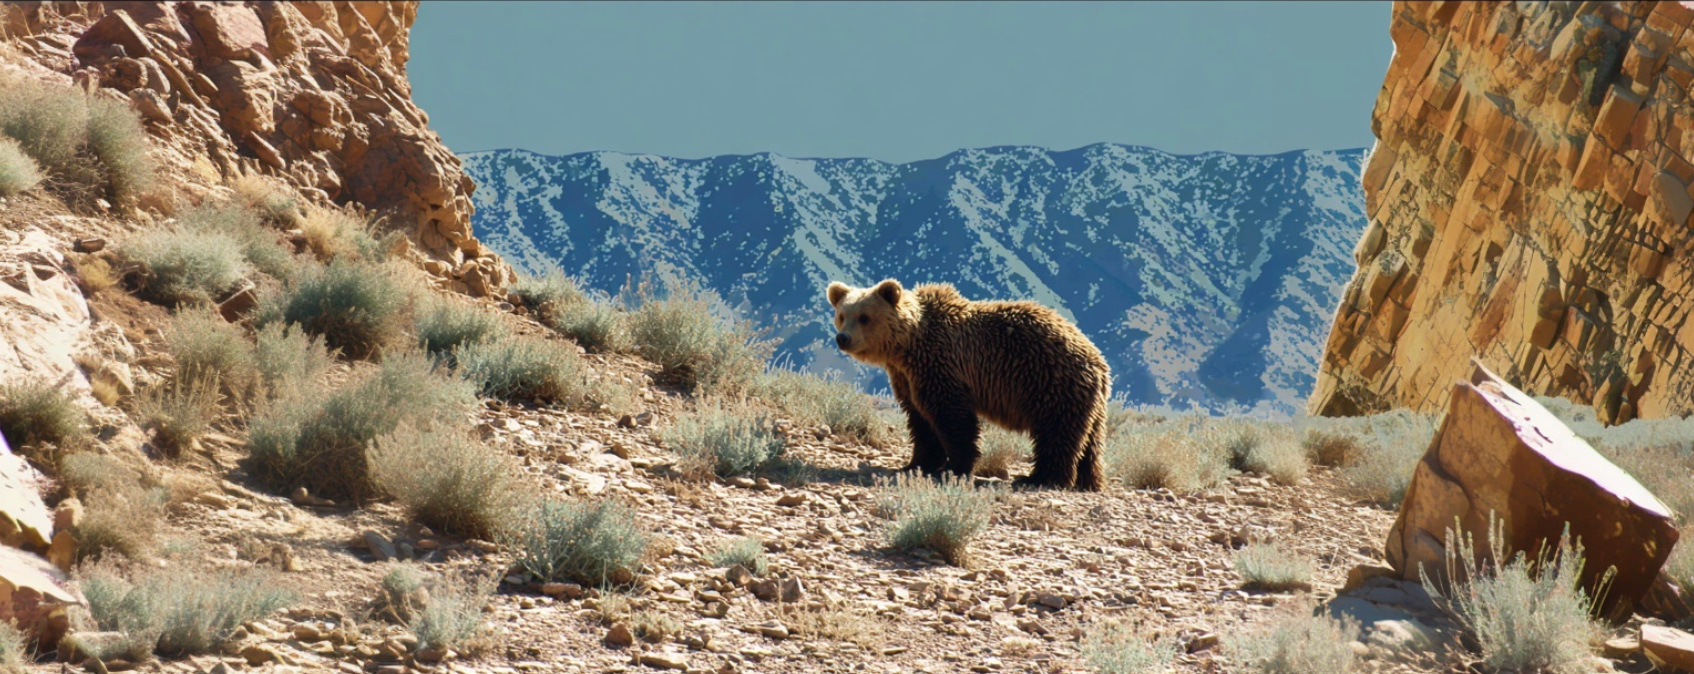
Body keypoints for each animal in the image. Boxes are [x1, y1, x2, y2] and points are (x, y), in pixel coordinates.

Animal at [825, 279, 1111, 491]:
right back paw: (1088, 481)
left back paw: (1041, 478)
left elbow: (952, 417)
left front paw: (956, 466)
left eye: (864, 317)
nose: (843, 338)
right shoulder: (907, 377)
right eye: (842, 315)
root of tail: (1098, 360)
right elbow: (920, 419)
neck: (907, 346)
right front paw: (916, 464)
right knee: (1089, 441)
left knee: (1056, 434)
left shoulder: (940, 364)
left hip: (1051, 383)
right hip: (1086, 401)